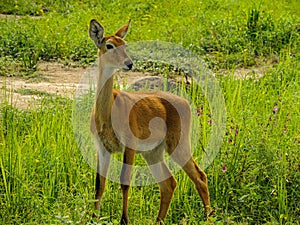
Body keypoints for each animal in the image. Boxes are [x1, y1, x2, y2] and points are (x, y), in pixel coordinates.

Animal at [88, 18, 212, 224]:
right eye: (109, 45)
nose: (129, 64)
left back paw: (209, 218)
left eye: (124, 44)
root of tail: (185, 102)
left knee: (200, 176)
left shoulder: (129, 146)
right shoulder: (102, 148)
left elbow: (124, 182)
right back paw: (159, 220)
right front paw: (92, 218)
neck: (106, 112)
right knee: (169, 183)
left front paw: (124, 220)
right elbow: (99, 184)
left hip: (177, 145)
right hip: (153, 153)